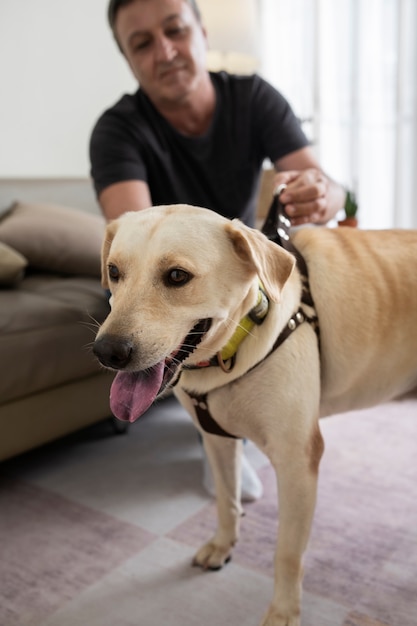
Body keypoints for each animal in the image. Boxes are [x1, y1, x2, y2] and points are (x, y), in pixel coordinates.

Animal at [92, 202, 416, 620]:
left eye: (177, 276)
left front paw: (283, 611)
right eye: (114, 272)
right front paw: (222, 546)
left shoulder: (297, 461)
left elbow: (288, 553)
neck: (232, 347)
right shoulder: (217, 440)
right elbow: (226, 503)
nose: (107, 352)